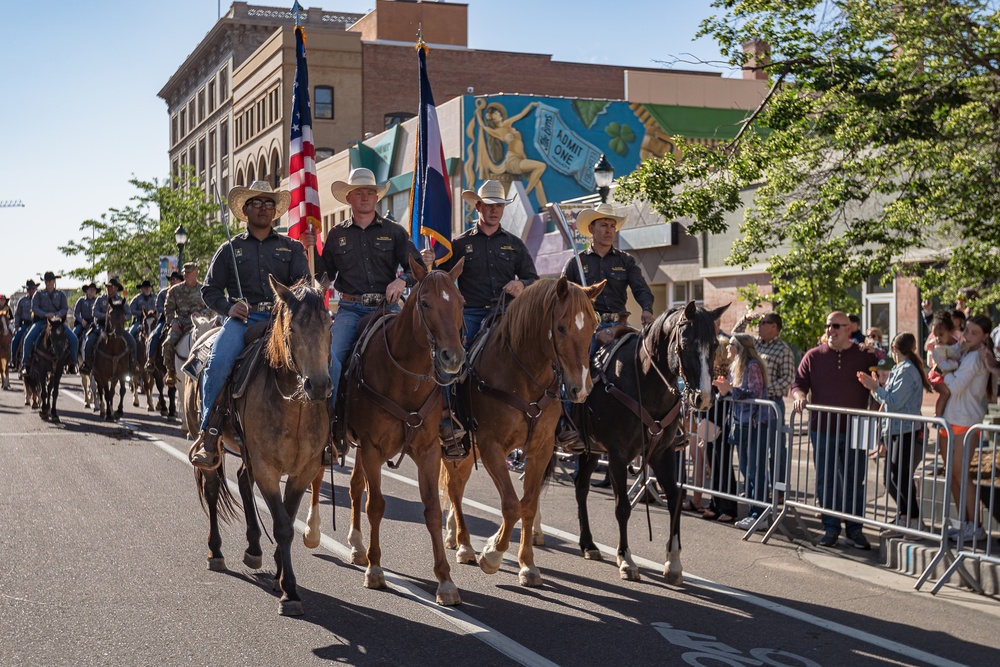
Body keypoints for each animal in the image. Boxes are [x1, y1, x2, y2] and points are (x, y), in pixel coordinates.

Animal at [193, 276, 334, 616]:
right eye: (293, 328)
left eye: (330, 323)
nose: (318, 385)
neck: (294, 406)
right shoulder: (267, 468)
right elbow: (282, 525)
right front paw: (290, 591)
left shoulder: (303, 471)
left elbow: (287, 518)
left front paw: (281, 575)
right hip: (216, 447)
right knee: (214, 488)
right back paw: (216, 552)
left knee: (243, 481)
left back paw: (254, 548)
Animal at [344, 258, 468, 608]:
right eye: (425, 302)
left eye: (461, 302)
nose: (453, 357)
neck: (404, 378)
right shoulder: (372, 449)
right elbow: (376, 505)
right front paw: (375, 569)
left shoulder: (428, 452)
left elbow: (432, 511)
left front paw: (445, 581)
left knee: (355, 486)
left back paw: (356, 545)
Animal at [442, 276, 604, 588]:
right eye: (561, 327)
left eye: (593, 326)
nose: (581, 389)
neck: (524, 378)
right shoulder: (491, 447)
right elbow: (510, 504)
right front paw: (492, 554)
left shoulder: (540, 450)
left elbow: (527, 505)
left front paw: (527, 564)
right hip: (457, 448)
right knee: (454, 488)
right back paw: (465, 545)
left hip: (469, 451)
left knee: (457, 486)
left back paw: (456, 536)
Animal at [572, 302, 728, 584]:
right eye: (686, 343)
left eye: (713, 345)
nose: (704, 399)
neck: (644, 383)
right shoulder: (617, 455)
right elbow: (622, 506)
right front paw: (625, 559)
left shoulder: (662, 453)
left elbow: (676, 498)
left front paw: (673, 563)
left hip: (589, 451)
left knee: (580, 488)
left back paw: (587, 544)